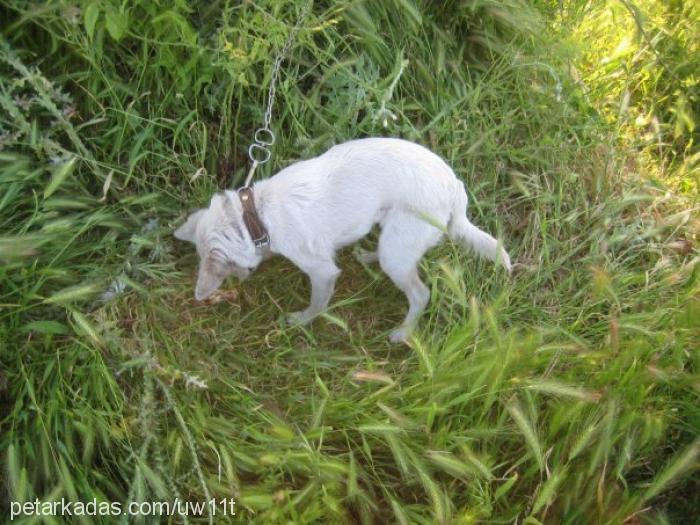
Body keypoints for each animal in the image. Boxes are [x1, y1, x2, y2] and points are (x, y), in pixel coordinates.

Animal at [175, 137, 512, 342]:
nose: (243, 277)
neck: (254, 216)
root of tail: (454, 187)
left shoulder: (322, 272)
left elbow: (316, 304)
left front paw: (302, 321)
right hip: (393, 239)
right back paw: (367, 258)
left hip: (397, 250)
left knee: (420, 294)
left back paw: (404, 332)